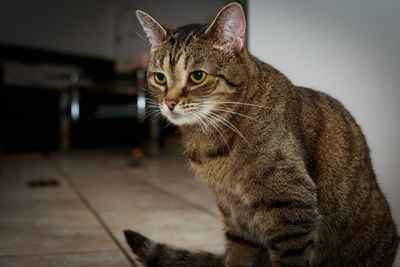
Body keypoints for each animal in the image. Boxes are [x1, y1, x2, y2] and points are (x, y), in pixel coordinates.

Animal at [124, 2, 396, 267]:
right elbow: (237, 257)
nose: (169, 103)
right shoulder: (234, 214)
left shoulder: (292, 203)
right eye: (160, 77)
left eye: (197, 76)